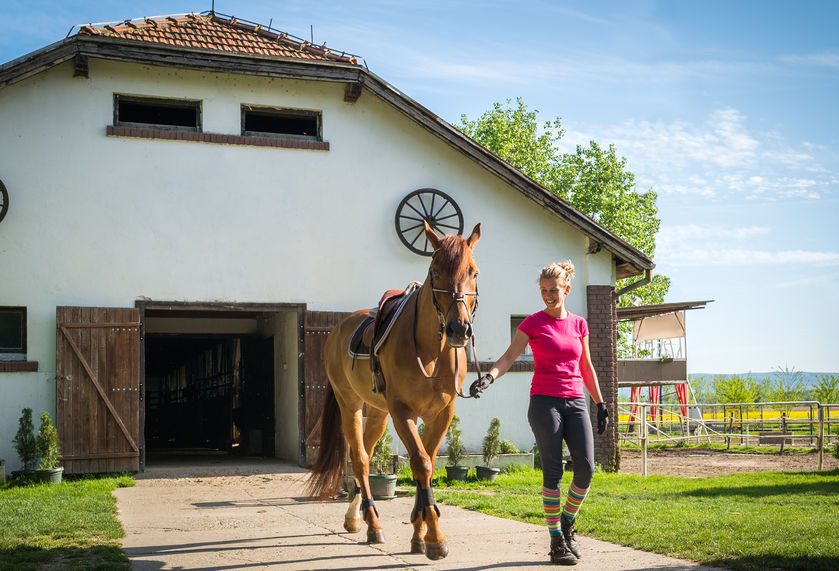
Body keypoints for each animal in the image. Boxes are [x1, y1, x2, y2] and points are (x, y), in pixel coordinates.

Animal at [306, 221, 480, 560]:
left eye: (474, 272)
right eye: (435, 271)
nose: (459, 329)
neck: (431, 351)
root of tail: (338, 329)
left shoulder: (441, 414)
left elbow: (428, 462)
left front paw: (419, 532)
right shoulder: (403, 412)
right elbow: (421, 463)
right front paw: (435, 539)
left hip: (377, 412)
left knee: (368, 452)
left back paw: (355, 517)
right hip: (351, 405)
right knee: (359, 458)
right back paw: (372, 524)